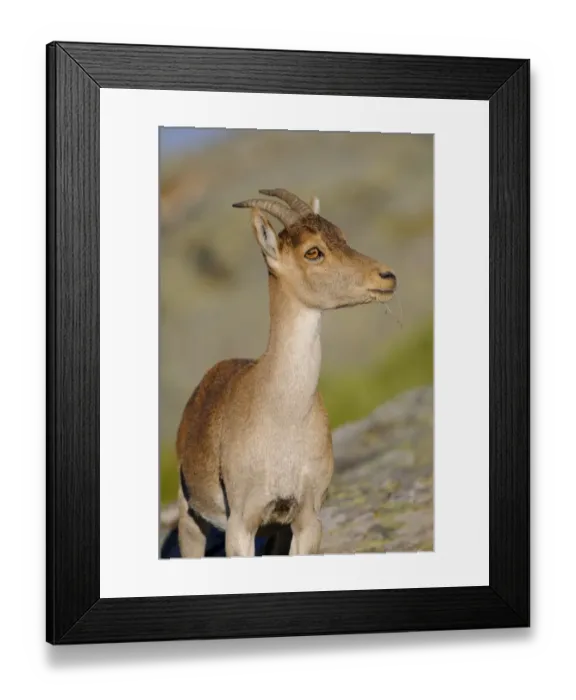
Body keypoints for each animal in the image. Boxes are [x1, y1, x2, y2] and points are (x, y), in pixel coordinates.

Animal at [175, 189, 397, 557]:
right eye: (313, 251)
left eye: (342, 236)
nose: (386, 276)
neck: (284, 415)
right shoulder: (241, 525)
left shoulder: (306, 518)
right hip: (189, 518)